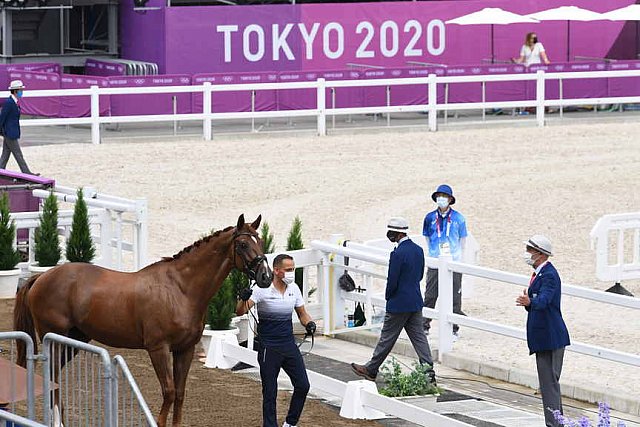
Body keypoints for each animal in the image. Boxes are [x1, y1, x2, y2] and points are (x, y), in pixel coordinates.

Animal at [12, 216, 272, 426]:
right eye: (242, 244)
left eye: (260, 242)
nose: (266, 277)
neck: (181, 289)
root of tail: (41, 277)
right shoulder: (158, 348)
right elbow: (168, 391)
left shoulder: (185, 349)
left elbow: (179, 393)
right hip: (55, 336)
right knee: (52, 375)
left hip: (75, 339)